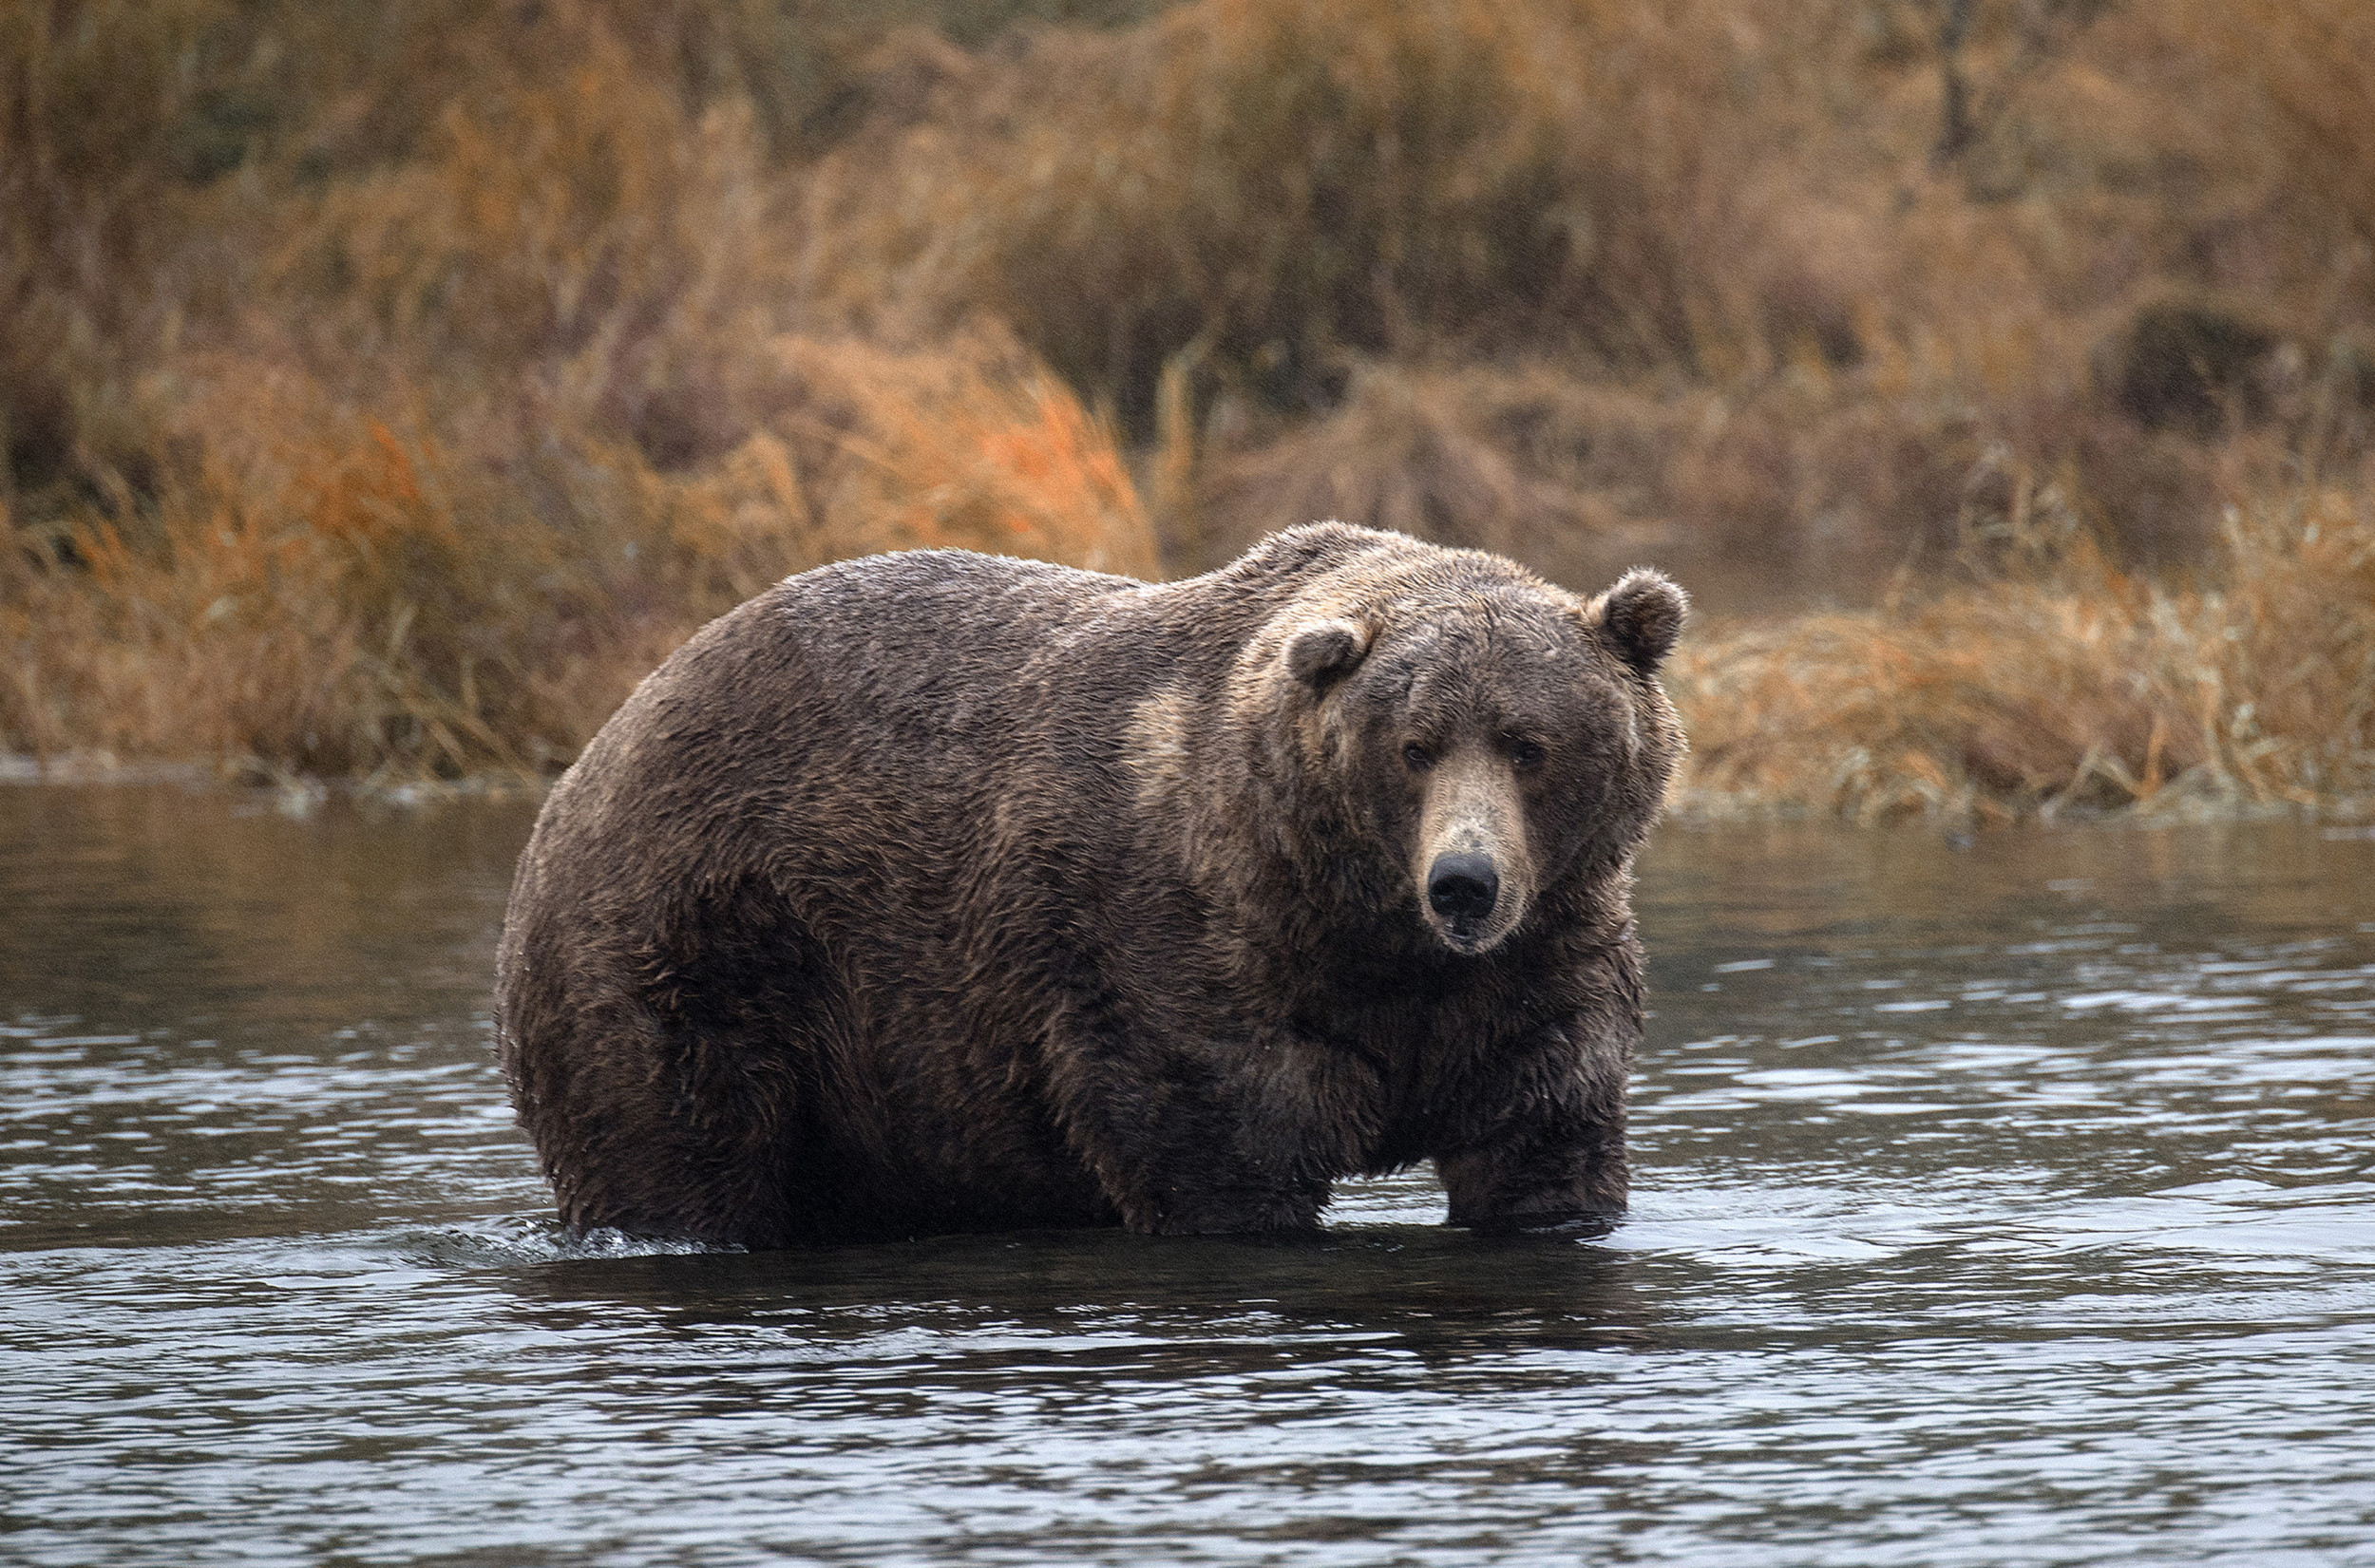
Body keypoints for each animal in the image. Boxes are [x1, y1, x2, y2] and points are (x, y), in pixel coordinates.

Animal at [496, 527, 1691, 1244]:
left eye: (1528, 742)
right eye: (1413, 745)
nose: (1463, 884)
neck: (1355, 927)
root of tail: (592, 754)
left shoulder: (1536, 965)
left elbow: (1540, 1133)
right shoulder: (1176, 952)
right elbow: (1223, 1146)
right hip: (702, 946)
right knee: (678, 1144)